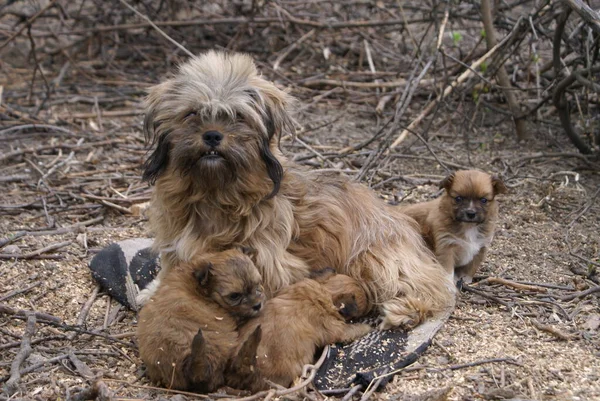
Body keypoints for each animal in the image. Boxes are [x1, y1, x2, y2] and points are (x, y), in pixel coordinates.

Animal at [137, 50, 454, 328]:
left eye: (238, 116)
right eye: (192, 114)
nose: (213, 135)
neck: (214, 192)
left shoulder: (272, 263)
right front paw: (155, 292)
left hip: (376, 257)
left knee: (429, 285)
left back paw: (406, 310)